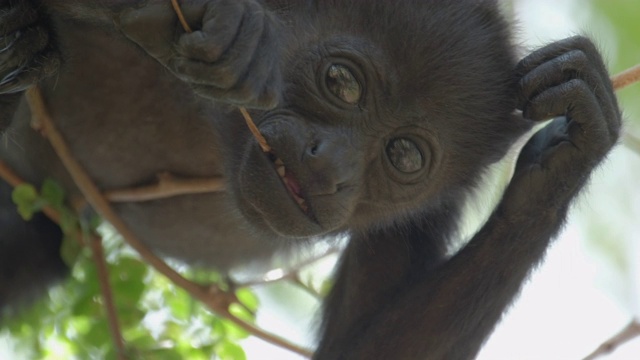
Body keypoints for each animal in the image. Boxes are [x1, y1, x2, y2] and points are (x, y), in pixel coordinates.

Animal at [0, 1, 620, 358]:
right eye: (342, 83)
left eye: (405, 156)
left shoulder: (444, 200)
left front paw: (568, 152)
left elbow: (358, 348)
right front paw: (223, 27)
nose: (331, 165)